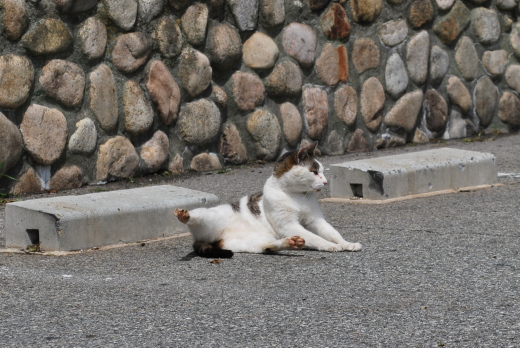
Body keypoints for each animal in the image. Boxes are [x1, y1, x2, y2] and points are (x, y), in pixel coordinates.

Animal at [175, 142, 362, 258]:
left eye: (322, 171)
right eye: (314, 172)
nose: (325, 182)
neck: (298, 196)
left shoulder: (316, 220)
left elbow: (333, 233)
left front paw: (346, 243)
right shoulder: (289, 225)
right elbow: (316, 238)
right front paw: (330, 245)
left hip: (251, 243)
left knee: (269, 246)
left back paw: (291, 243)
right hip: (208, 217)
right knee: (195, 217)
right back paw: (185, 215)